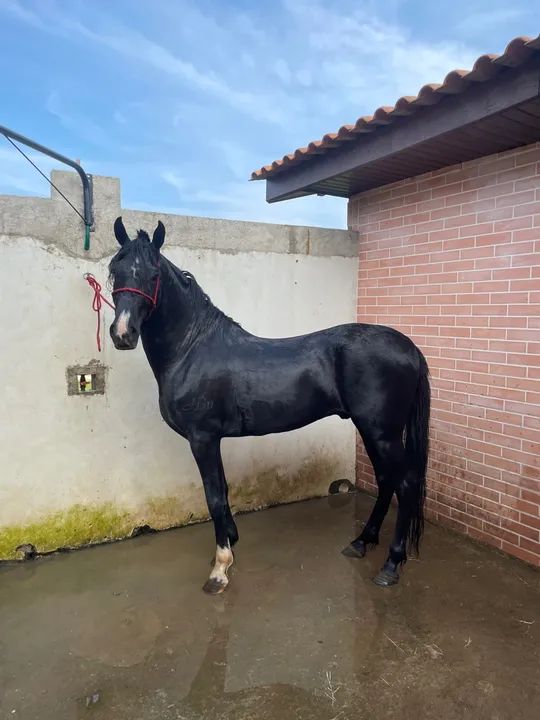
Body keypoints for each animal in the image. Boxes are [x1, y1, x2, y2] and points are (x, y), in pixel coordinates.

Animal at [108, 217, 430, 594]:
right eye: (115, 270)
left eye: (153, 274)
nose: (123, 334)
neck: (192, 348)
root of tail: (409, 347)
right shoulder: (211, 439)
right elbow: (223, 489)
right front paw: (231, 542)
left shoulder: (202, 437)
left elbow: (213, 496)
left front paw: (220, 569)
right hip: (372, 430)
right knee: (386, 480)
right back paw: (361, 542)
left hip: (382, 432)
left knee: (405, 483)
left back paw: (391, 564)